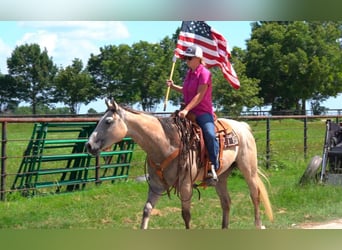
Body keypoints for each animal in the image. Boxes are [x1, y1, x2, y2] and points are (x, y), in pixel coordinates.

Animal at [87, 99, 274, 229]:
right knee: (226, 202)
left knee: (254, 195)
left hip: (248, 169)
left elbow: (186, 214)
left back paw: (258, 225)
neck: (166, 143)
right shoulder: (156, 185)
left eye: (108, 121)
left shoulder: (185, 184)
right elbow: (147, 209)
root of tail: (242, 125)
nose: (89, 145)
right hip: (221, 177)